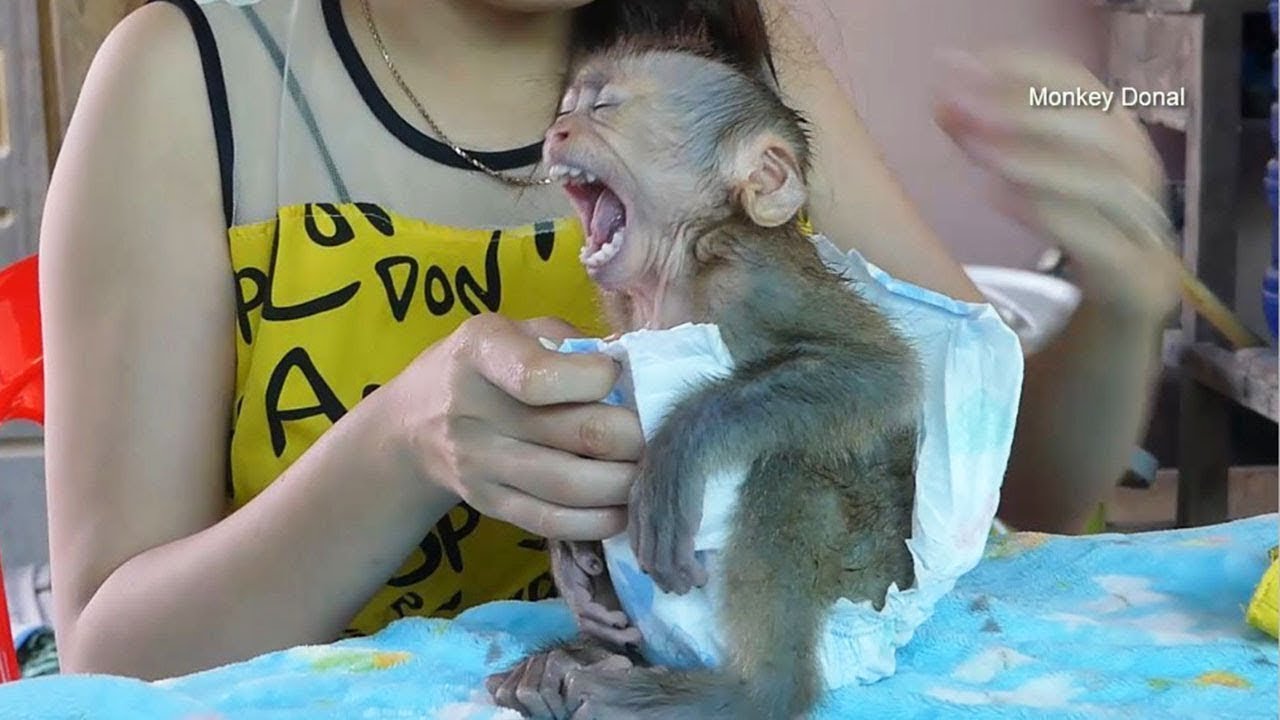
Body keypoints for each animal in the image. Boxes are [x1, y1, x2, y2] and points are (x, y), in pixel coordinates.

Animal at [487, 39, 921, 720]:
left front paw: (677, 450)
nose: (557, 132)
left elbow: (881, 373)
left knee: (791, 470)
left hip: (869, 563)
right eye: (568, 109)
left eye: (604, 108)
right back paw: (571, 661)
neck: (679, 268)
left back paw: (750, 693)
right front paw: (572, 559)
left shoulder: (750, 276)